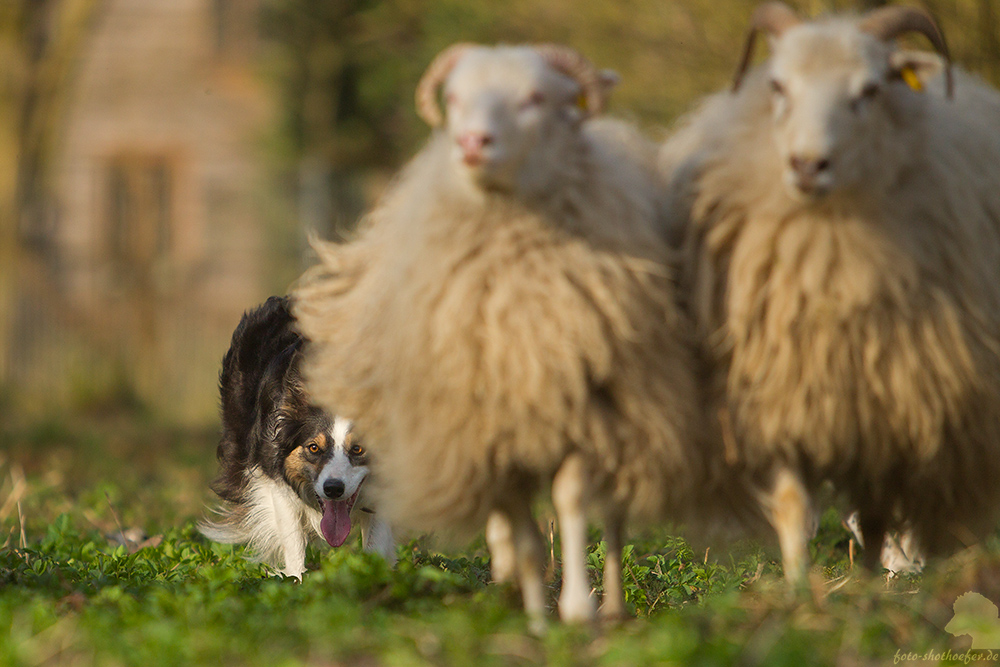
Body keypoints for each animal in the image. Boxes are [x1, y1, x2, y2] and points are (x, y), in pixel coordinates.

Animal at [198, 298, 394, 580]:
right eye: (313, 448)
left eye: (358, 449)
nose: (333, 489)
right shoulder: (272, 473)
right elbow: (292, 537)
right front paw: (296, 578)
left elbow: (376, 540)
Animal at [292, 44, 708, 628]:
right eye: (454, 98)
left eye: (535, 97)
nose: (471, 142)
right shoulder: (488, 432)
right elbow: (525, 534)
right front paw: (533, 610)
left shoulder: (584, 415)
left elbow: (572, 504)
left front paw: (576, 609)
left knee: (612, 520)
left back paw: (614, 606)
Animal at [664, 1, 1000, 584]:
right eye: (778, 85)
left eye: (869, 89)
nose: (807, 165)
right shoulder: (777, 393)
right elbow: (794, 505)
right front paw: (800, 589)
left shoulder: (897, 403)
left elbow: (878, 511)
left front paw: (873, 584)